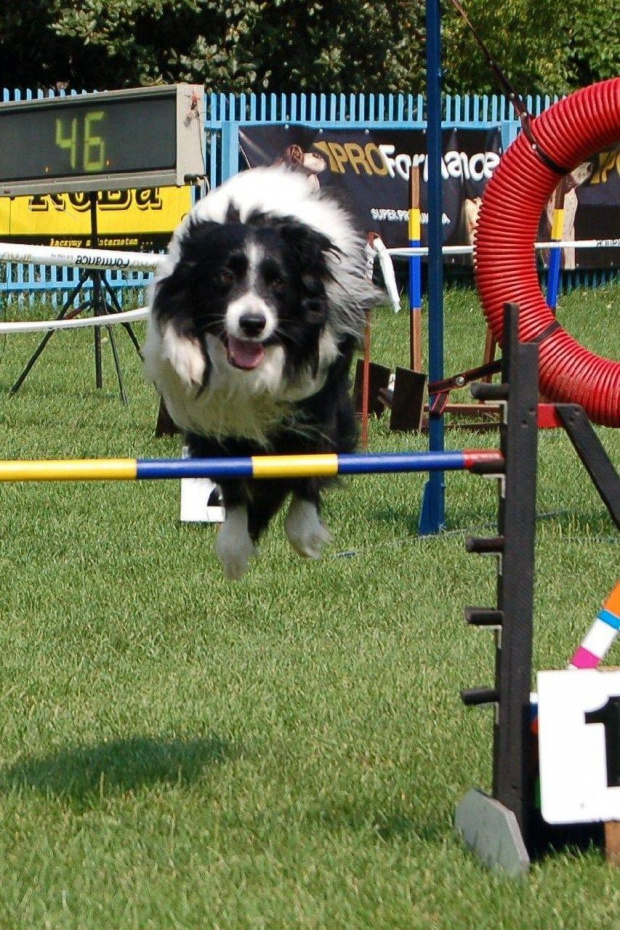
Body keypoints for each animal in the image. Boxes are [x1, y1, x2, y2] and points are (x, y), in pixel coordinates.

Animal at [144, 165, 382, 572]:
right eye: (225, 276)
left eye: (279, 281)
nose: (253, 323)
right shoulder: (214, 418)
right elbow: (235, 479)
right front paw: (236, 545)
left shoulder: (318, 398)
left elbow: (311, 460)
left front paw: (305, 533)